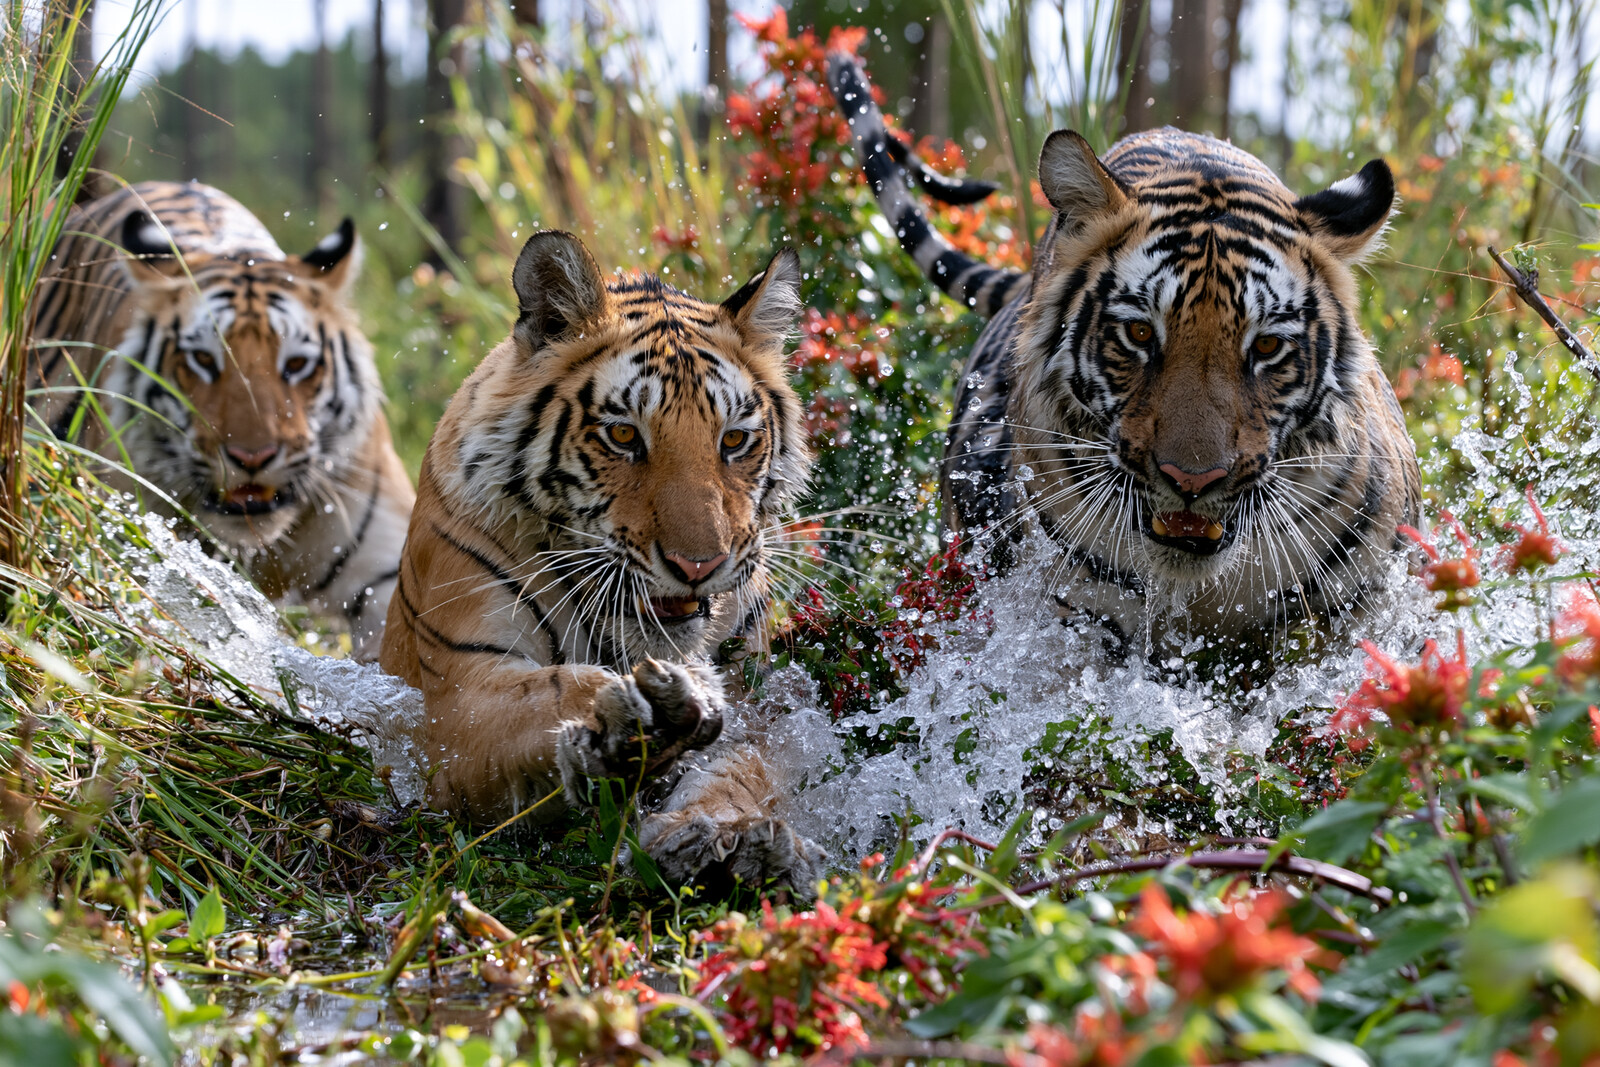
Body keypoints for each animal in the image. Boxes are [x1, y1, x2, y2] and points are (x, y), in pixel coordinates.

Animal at [378, 229, 825, 891]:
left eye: (734, 440)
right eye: (622, 436)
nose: (698, 565)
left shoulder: (766, 706)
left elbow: (745, 769)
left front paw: (724, 835)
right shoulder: (450, 703)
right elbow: (553, 688)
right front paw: (648, 712)